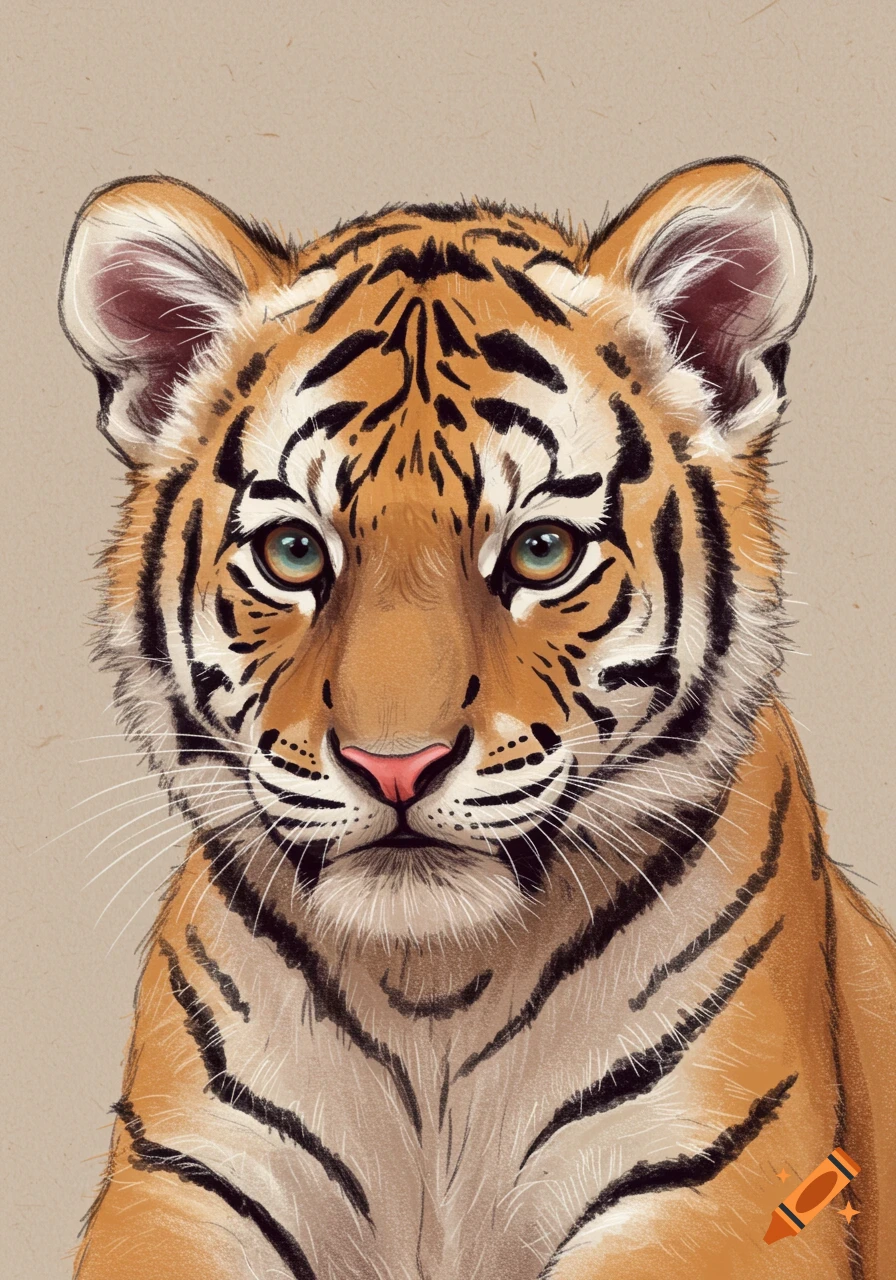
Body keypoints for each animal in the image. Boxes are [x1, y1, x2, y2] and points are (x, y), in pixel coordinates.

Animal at [59, 158, 896, 1280]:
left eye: (541, 551)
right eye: (293, 551)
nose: (395, 765)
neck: (432, 995)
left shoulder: (718, 1183)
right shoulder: (181, 1178)